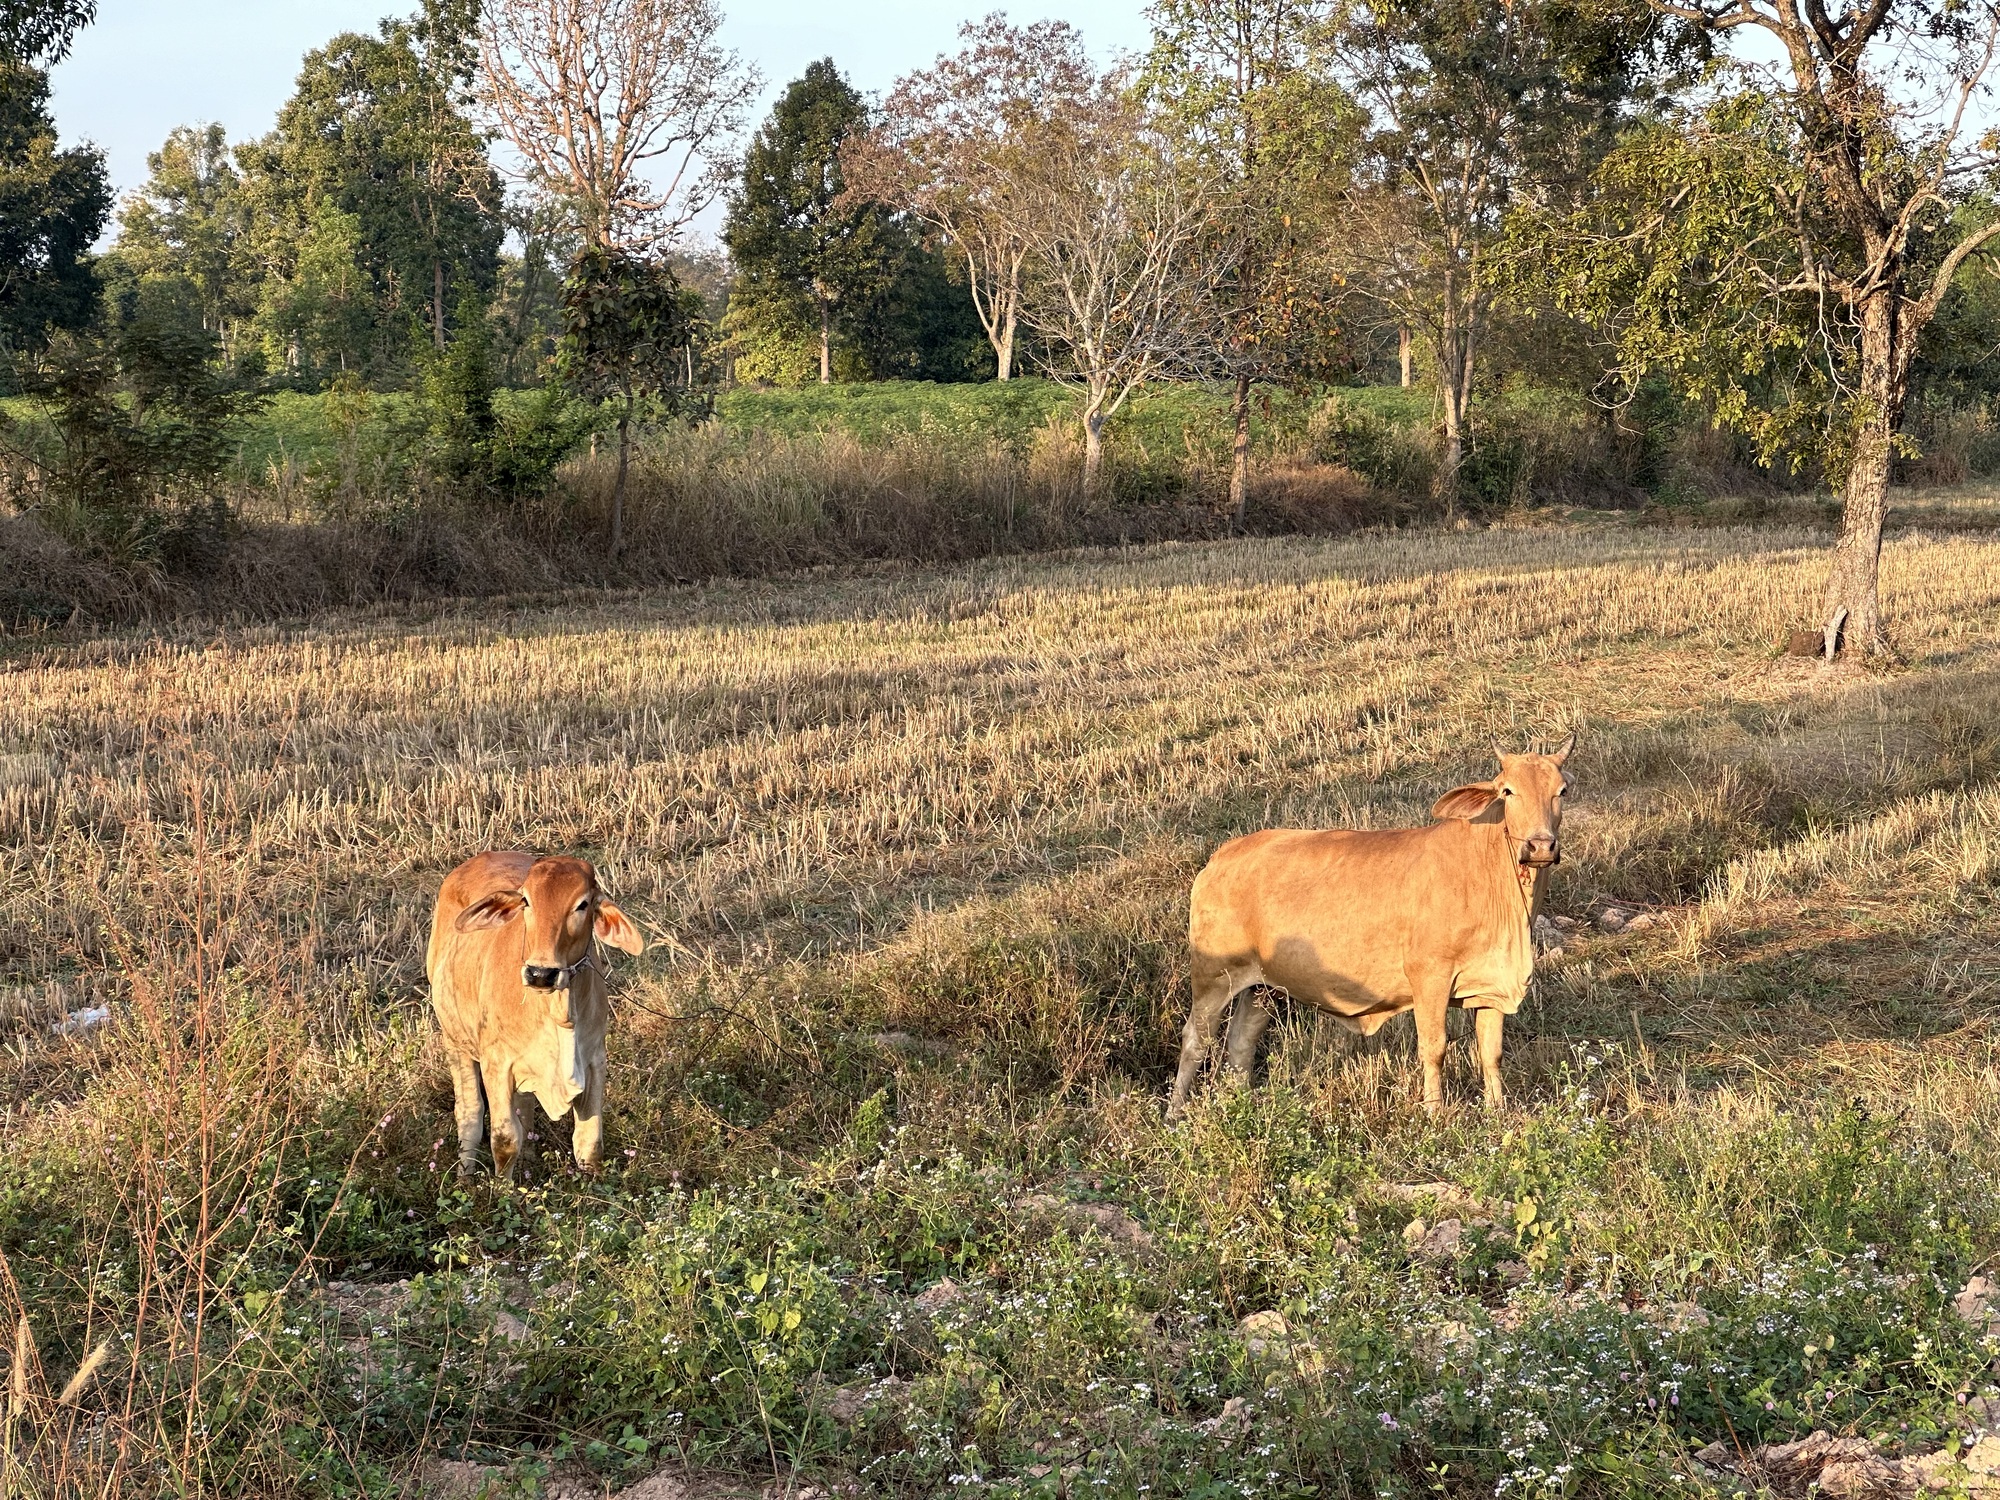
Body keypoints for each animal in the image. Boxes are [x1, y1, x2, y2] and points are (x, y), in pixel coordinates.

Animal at [426, 851, 644, 1179]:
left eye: (582, 904)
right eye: (526, 901)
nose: (541, 973)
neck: (559, 1015)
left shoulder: (595, 1060)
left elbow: (589, 1143)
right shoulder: (497, 1064)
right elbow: (505, 1140)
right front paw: (502, 1188)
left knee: (525, 1107)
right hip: (454, 1040)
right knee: (469, 1112)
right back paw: (464, 1174)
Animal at [1167, 737, 1574, 1121]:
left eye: (1562, 790)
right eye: (1507, 791)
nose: (1540, 845)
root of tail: (1221, 857)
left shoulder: (1489, 985)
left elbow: (1491, 1052)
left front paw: (1497, 1109)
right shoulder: (1430, 977)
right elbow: (1434, 1047)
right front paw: (1434, 1110)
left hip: (1265, 987)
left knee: (1242, 1040)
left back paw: (1243, 1101)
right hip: (1213, 977)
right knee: (1196, 1039)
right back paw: (1175, 1113)